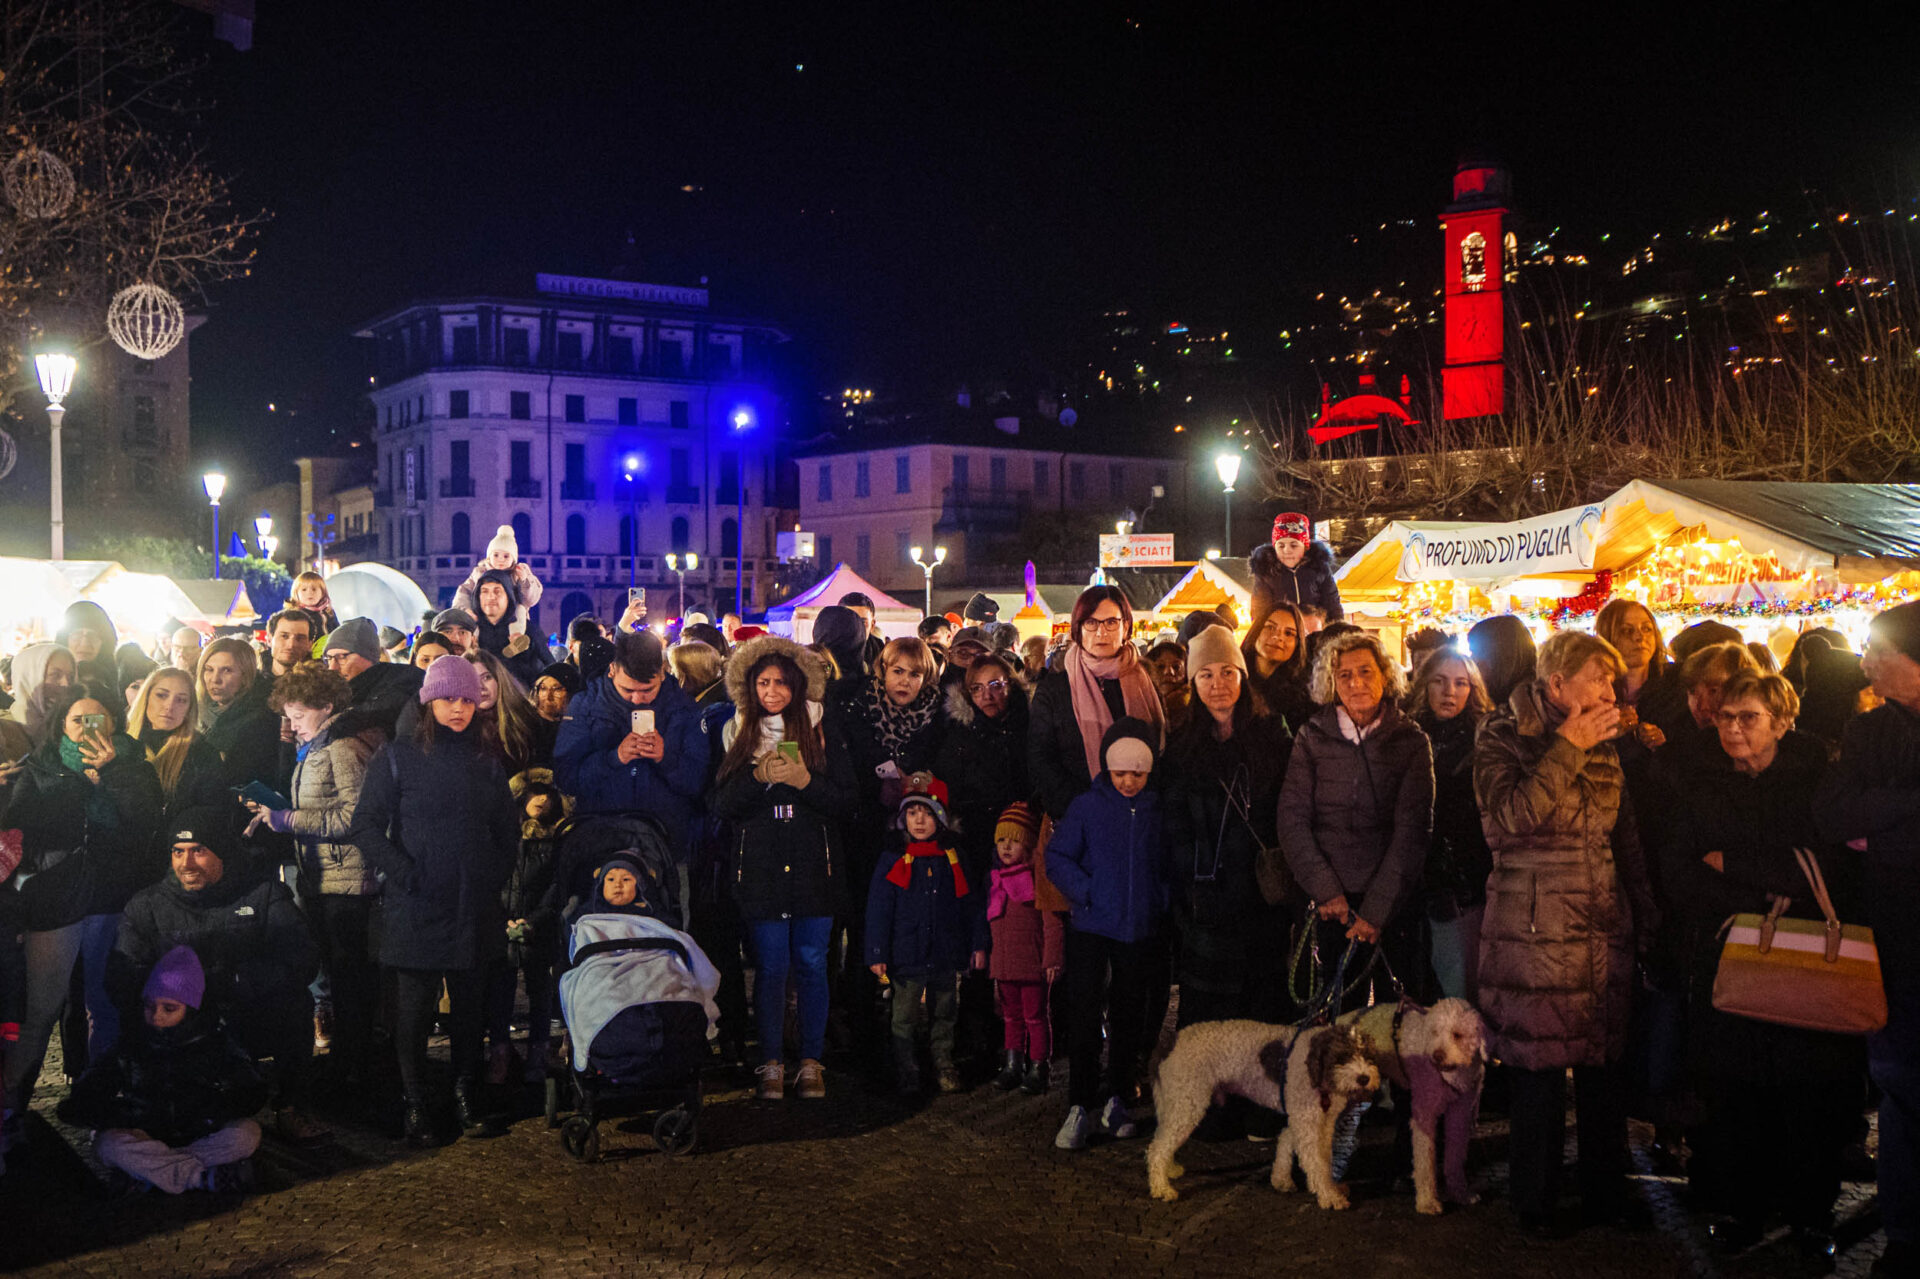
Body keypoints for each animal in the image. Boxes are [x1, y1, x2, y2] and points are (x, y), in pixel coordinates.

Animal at [1146, 1020, 1380, 1208]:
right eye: (1342, 1056)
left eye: (1367, 1056)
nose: (1364, 1078)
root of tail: (1168, 1043)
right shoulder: (1306, 1119)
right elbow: (1317, 1162)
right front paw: (1329, 1196)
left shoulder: (1316, 1120)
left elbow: (1295, 1143)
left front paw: (1283, 1179)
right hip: (1187, 1102)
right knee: (1157, 1148)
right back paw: (1161, 1188)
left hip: (1176, 1102)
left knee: (1162, 1140)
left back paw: (1167, 1171)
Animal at [1338, 997, 1487, 1215]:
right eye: (1434, 1032)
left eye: (1457, 1034)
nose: (1437, 1055)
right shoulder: (1424, 1111)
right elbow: (1425, 1159)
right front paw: (1428, 1202)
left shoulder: (1461, 1111)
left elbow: (1455, 1155)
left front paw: (1461, 1193)